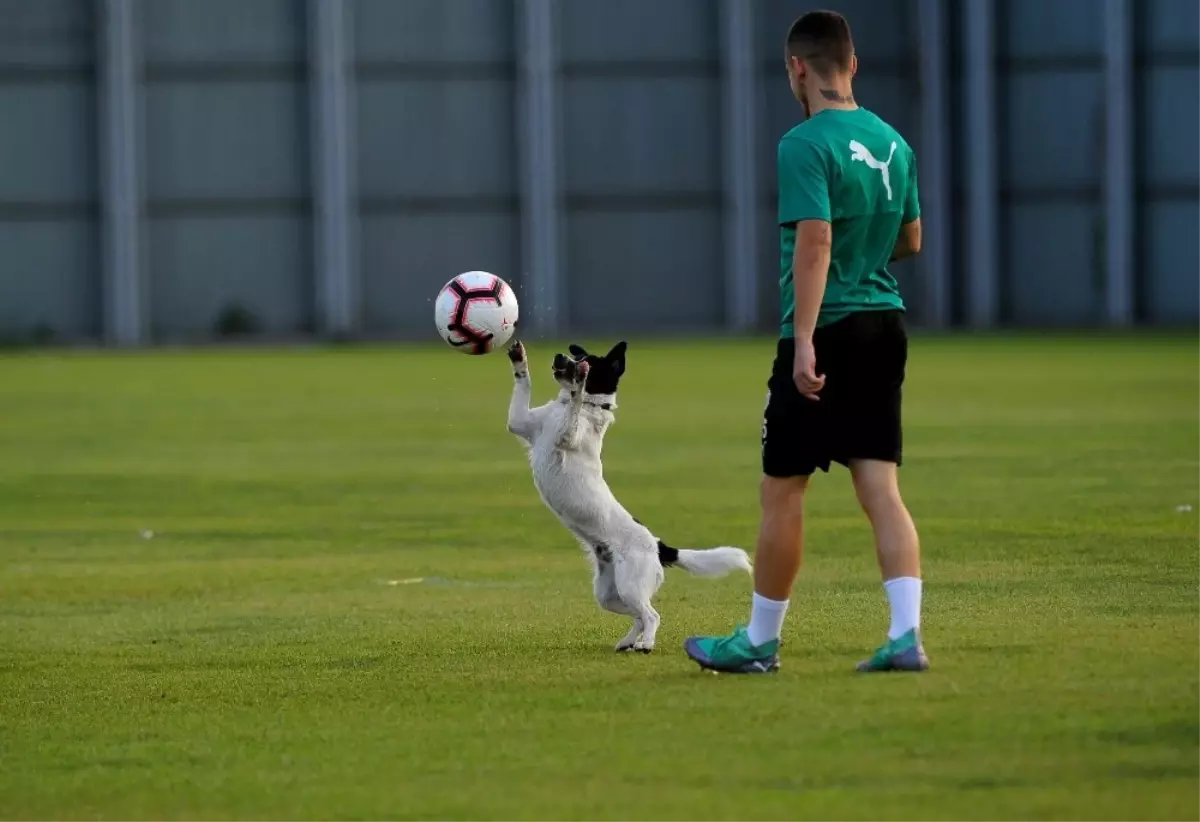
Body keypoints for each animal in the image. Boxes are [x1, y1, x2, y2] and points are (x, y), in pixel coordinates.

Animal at [499, 336, 744, 652]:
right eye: (577, 355)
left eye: (587, 361)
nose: (560, 356)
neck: (583, 407)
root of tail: (658, 545)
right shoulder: (519, 422)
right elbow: (523, 384)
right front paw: (519, 358)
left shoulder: (568, 436)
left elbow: (574, 405)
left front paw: (579, 384)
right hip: (609, 594)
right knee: (639, 616)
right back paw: (628, 641)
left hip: (630, 585)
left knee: (652, 615)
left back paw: (646, 644)